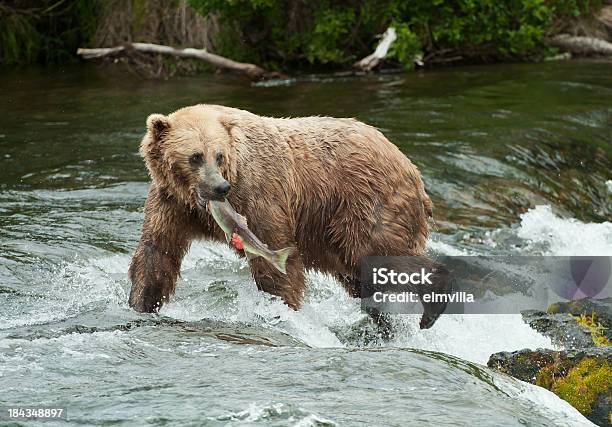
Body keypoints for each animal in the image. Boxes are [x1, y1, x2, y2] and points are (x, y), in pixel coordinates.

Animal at [126, 103, 438, 328]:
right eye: (195, 156)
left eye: (219, 155)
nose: (220, 188)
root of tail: (410, 165)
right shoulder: (171, 204)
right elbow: (157, 253)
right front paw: (141, 303)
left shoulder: (259, 195)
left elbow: (275, 256)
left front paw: (282, 307)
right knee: (361, 276)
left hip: (365, 203)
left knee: (379, 253)